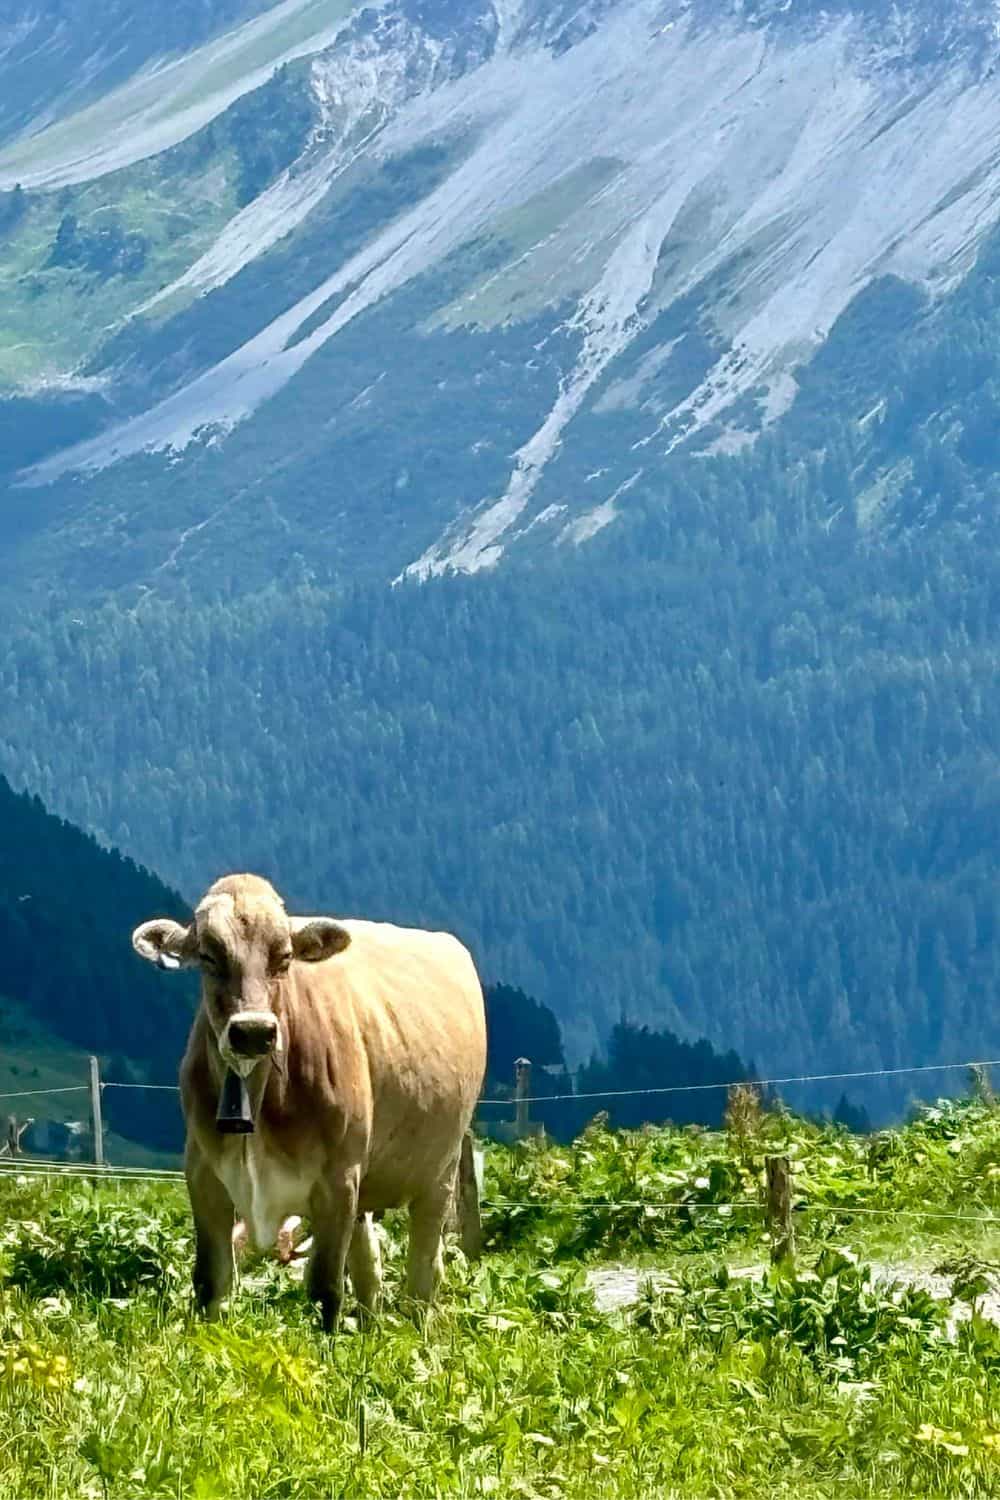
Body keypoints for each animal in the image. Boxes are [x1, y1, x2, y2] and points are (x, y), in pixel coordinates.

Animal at [134, 876, 488, 1332]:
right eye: (209, 957)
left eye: (284, 957)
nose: (253, 1031)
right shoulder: (203, 1175)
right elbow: (211, 1281)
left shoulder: (337, 1179)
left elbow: (325, 1287)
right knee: (369, 1264)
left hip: (440, 1167)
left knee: (424, 1269)